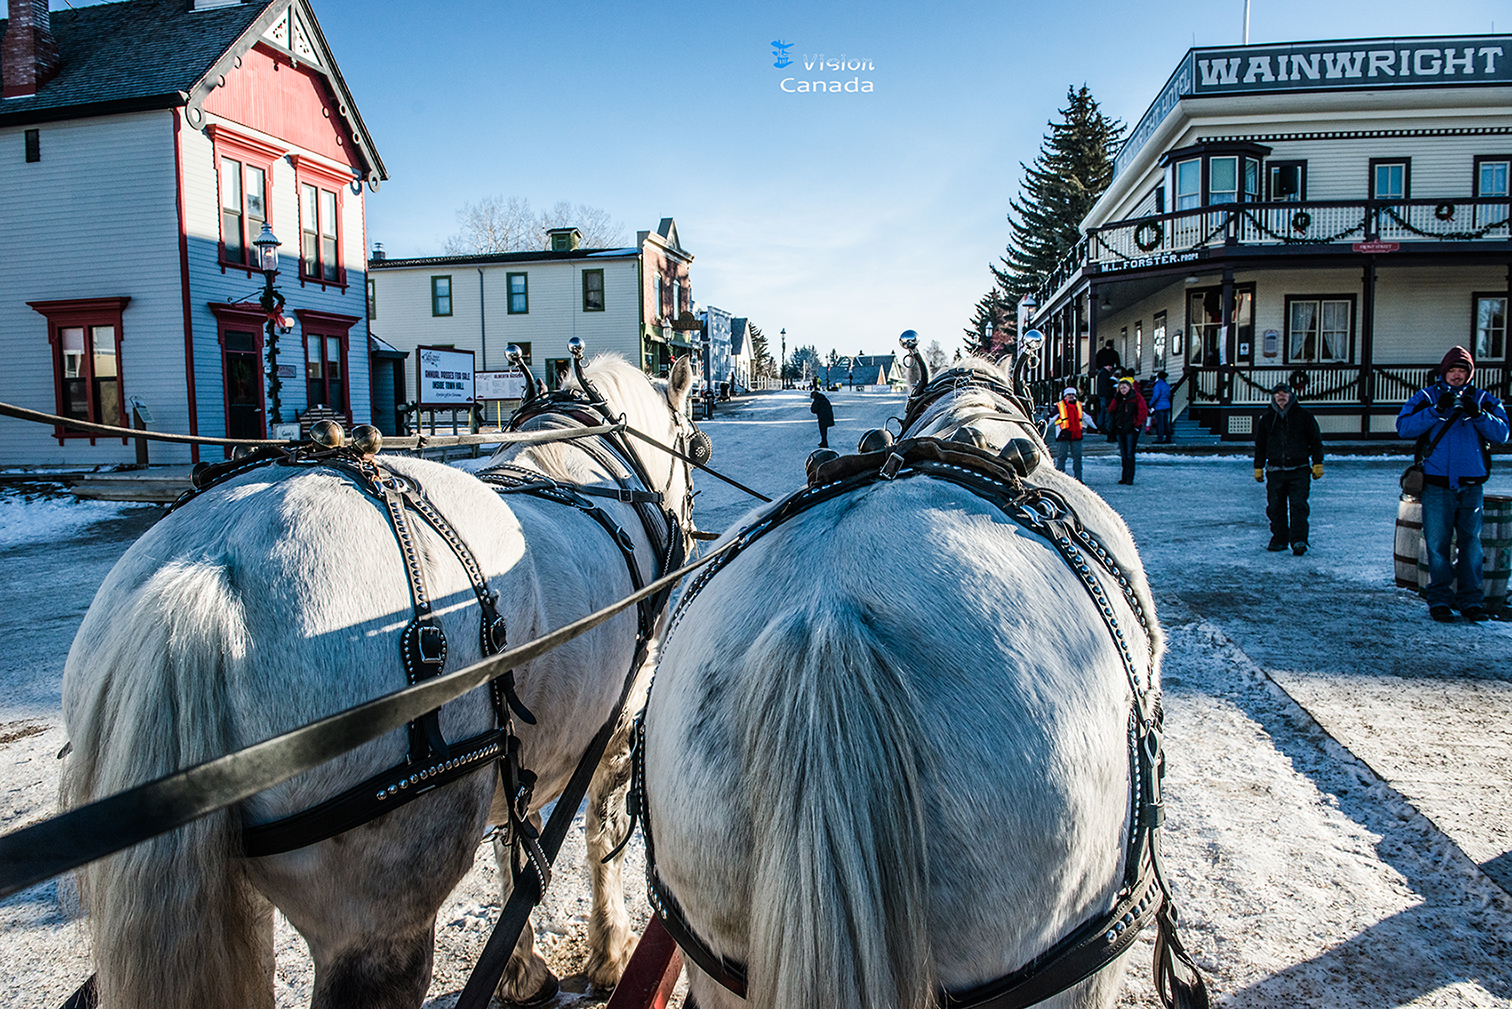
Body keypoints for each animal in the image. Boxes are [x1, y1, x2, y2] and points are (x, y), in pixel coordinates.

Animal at [58, 353, 695, 1009]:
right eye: (693, 440)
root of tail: (208, 569)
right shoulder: (616, 729)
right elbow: (601, 838)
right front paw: (611, 955)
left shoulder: (516, 753)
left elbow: (513, 845)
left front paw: (522, 970)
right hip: (382, 912)